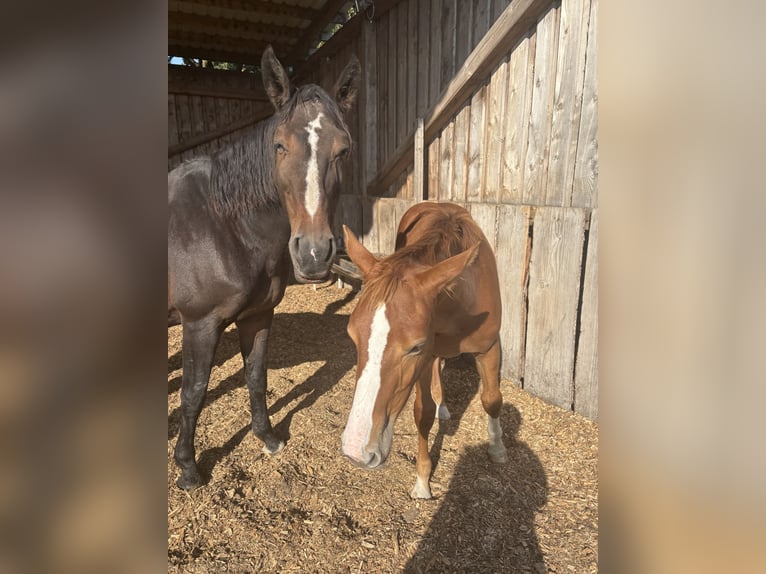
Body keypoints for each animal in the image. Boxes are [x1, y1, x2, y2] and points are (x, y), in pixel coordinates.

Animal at [168, 46, 360, 490]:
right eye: (279, 146)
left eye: (343, 149)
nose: (312, 254)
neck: (223, 223)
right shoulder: (199, 324)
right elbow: (194, 392)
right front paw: (188, 468)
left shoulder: (257, 315)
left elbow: (256, 377)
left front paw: (267, 437)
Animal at [340, 202, 508, 499]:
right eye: (353, 337)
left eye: (414, 346)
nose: (355, 450)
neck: (460, 301)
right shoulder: (425, 362)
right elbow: (423, 413)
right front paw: (422, 479)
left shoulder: (488, 347)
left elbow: (491, 399)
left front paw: (497, 448)